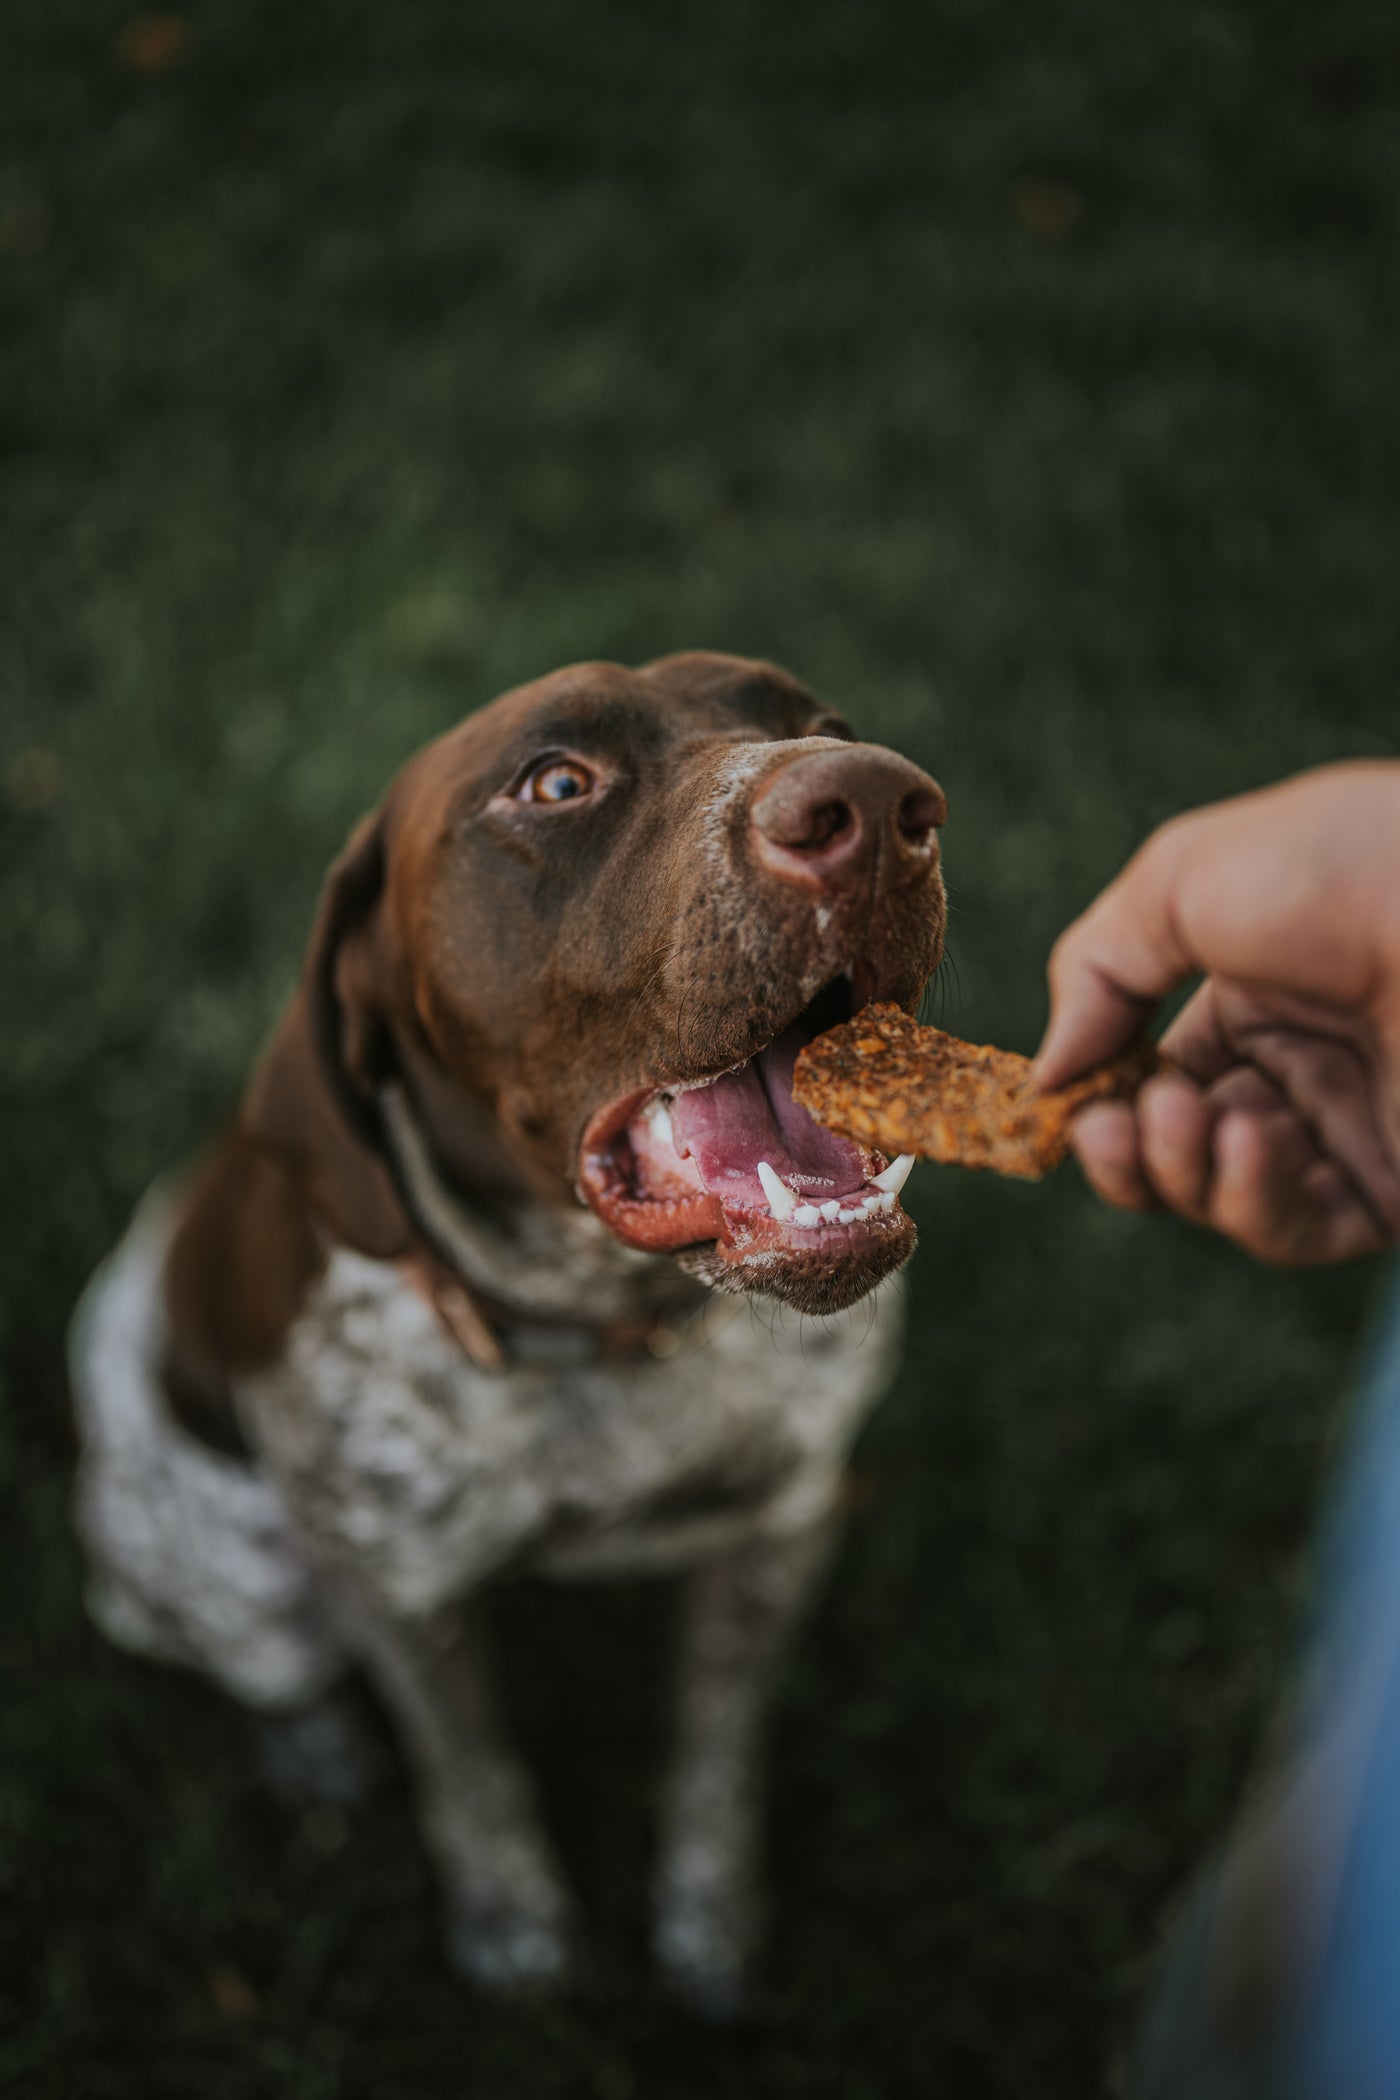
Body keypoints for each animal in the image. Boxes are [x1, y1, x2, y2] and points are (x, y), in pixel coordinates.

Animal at [65, 646, 948, 2007]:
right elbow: (470, 1774)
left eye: (820, 722)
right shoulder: (401, 1588)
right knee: (276, 1669)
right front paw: (515, 1932)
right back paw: (315, 1753)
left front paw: (708, 1924)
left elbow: (713, 1749)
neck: (606, 1332)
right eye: (554, 782)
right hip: (219, 1565)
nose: (873, 799)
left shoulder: (775, 1529)